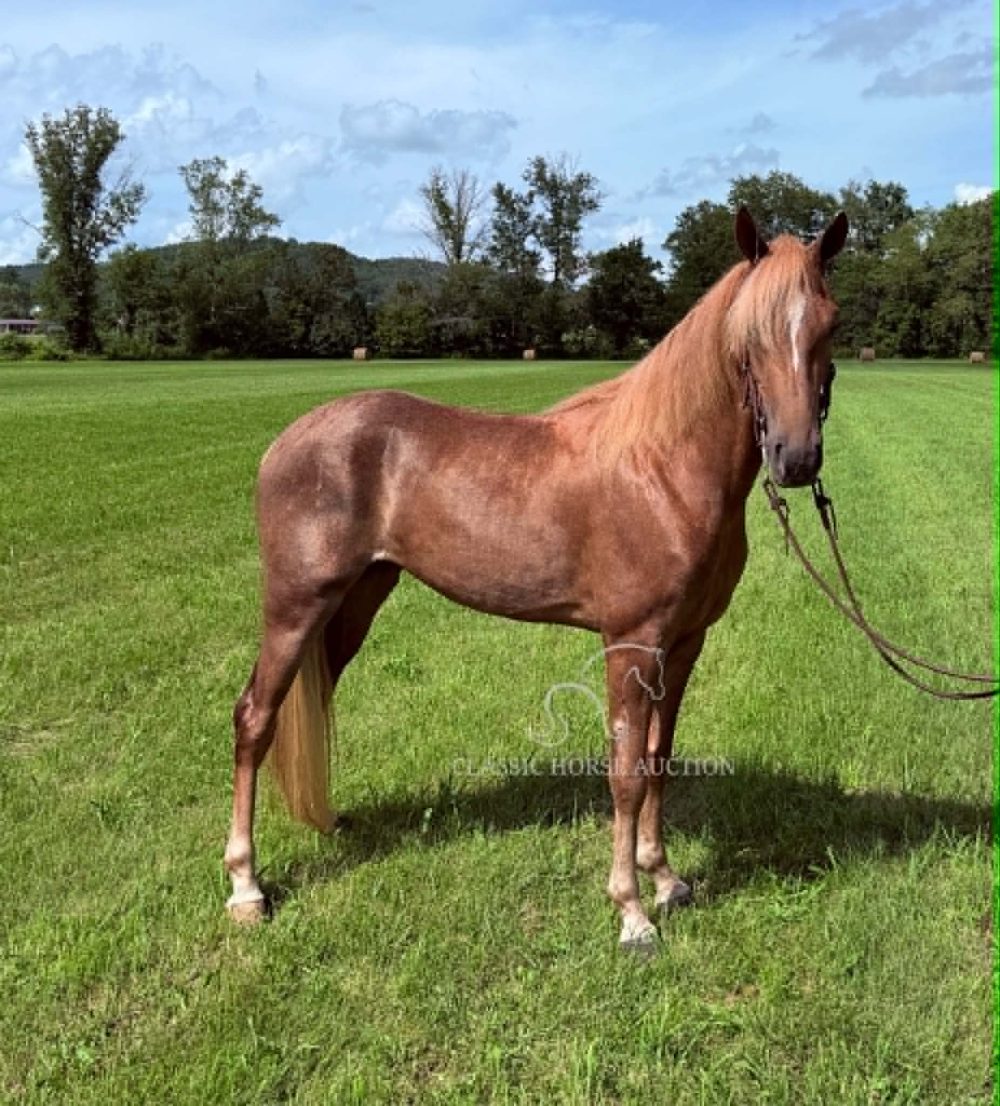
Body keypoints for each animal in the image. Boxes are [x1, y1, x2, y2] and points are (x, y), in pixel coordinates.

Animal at [224, 206, 849, 953]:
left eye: (830, 323)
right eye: (749, 334)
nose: (795, 457)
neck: (662, 467)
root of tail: (283, 444)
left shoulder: (683, 643)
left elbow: (660, 759)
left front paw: (666, 879)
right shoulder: (631, 645)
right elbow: (626, 772)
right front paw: (632, 913)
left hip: (354, 605)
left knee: (311, 704)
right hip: (296, 606)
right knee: (255, 718)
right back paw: (247, 887)